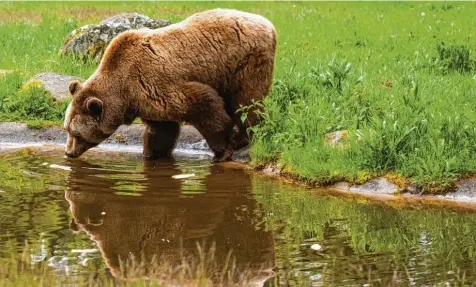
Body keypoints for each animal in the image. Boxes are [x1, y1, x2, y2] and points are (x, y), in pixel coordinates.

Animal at [65, 9, 278, 162]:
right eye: (67, 129)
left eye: (76, 133)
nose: (68, 152)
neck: (123, 93)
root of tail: (268, 24)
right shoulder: (146, 98)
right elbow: (161, 129)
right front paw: (152, 154)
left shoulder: (155, 81)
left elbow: (203, 104)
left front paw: (221, 152)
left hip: (243, 63)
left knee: (246, 101)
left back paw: (244, 137)